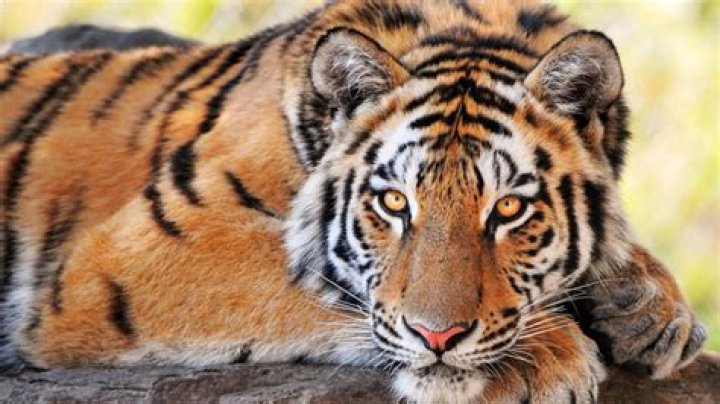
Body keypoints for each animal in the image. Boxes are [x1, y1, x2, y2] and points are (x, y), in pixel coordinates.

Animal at [0, 0, 706, 402]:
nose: (438, 336)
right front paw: (546, 356)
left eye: (508, 210)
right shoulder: (137, 253)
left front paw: (647, 306)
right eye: (394, 203)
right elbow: (320, 284)